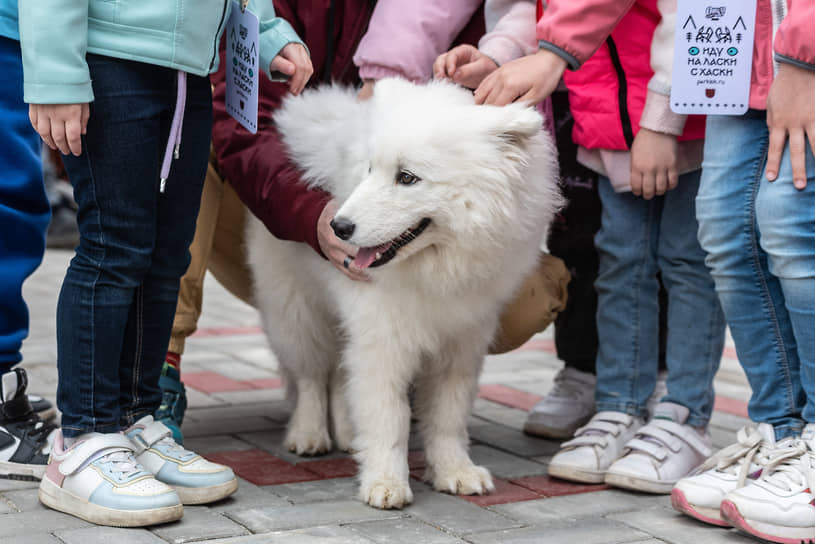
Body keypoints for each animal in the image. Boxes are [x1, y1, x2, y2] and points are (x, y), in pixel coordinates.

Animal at [247, 78, 560, 508]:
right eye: (369, 169)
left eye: (407, 177)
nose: (339, 226)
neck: (436, 269)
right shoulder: (382, 341)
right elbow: (387, 418)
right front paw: (385, 483)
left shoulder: (461, 343)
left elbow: (448, 417)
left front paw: (455, 472)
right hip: (296, 308)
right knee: (310, 374)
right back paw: (309, 435)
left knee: (339, 376)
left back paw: (348, 435)